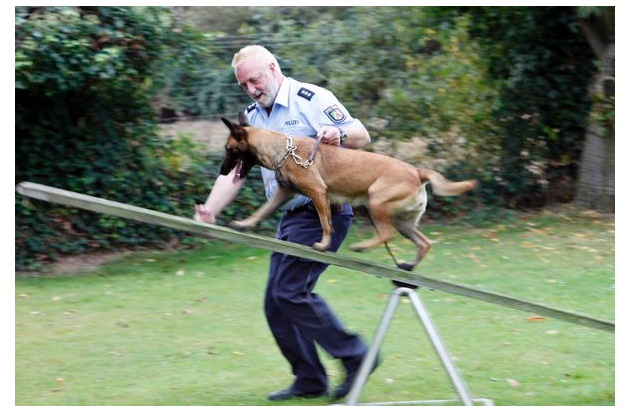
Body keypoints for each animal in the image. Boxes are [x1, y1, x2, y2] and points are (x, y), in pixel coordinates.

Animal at [219, 113, 477, 271]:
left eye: (229, 149)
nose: (221, 171)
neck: (284, 149)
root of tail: (417, 172)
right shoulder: (284, 194)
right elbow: (262, 211)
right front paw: (244, 224)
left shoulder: (318, 192)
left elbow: (326, 224)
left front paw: (323, 245)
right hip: (403, 222)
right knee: (424, 243)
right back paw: (409, 266)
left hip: (376, 201)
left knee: (386, 234)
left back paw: (361, 246)